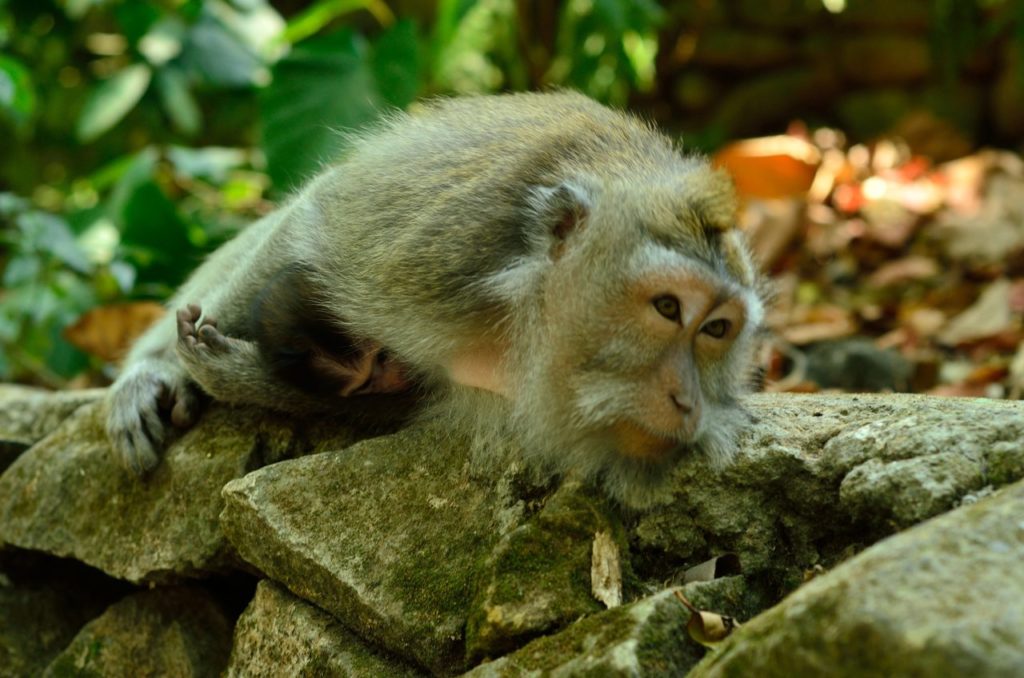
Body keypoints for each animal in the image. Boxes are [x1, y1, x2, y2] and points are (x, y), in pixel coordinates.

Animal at [105, 91, 767, 509]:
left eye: (716, 331)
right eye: (667, 309)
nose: (686, 399)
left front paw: (238, 374)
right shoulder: (438, 254)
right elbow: (314, 227)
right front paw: (181, 367)